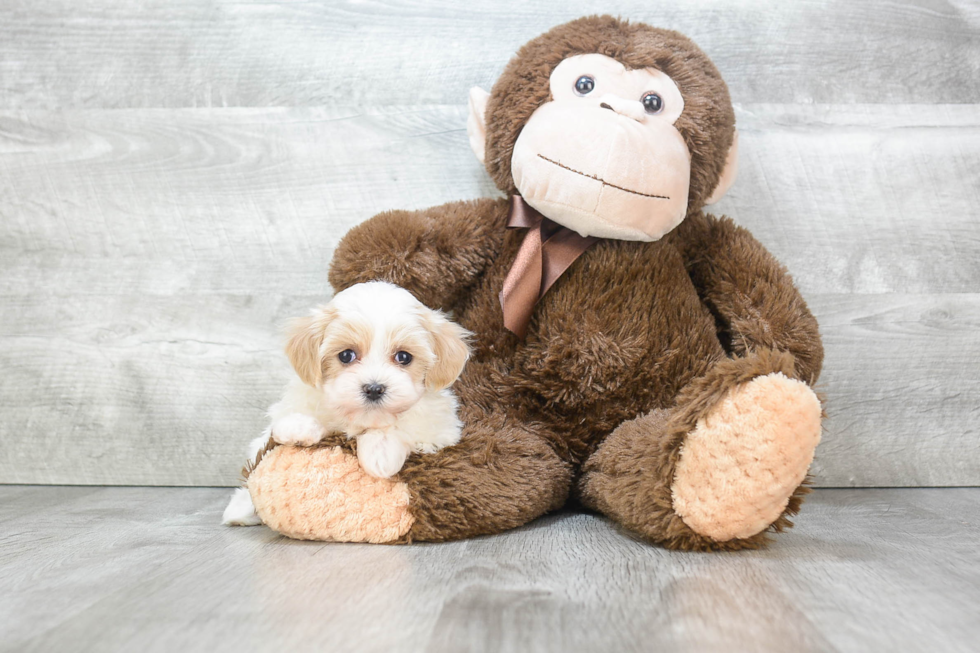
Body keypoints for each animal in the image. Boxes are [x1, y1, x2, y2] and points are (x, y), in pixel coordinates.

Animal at [224, 280, 468, 524]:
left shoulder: (440, 429)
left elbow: (401, 425)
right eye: (346, 355)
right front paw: (298, 427)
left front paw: (381, 452)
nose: (374, 388)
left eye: (404, 357)